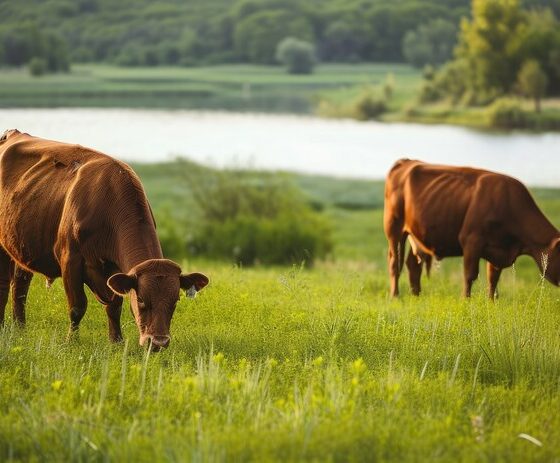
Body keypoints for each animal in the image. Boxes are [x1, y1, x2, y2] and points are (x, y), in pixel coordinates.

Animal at [0, 129, 209, 350]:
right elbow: (77, 306)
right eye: (141, 299)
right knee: (4, 284)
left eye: (175, 300)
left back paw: (20, 328)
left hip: (22, 245)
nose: (158, 342)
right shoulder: (70, 260)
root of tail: (14, 133)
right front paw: (72, 341)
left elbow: (114, 306)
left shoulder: (115, 272)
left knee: (20, 287)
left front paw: (116, 340)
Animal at [382, 159, 560, 298]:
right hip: (394, 228)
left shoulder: (497, 249)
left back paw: (416, 295)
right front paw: (465, 300)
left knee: (413, 264)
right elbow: (470, 276)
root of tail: (406, 161)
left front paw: (491, 303)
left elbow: (493, 279)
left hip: (416, 234)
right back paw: (395, 296)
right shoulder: (471, 241)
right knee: (394, 263)